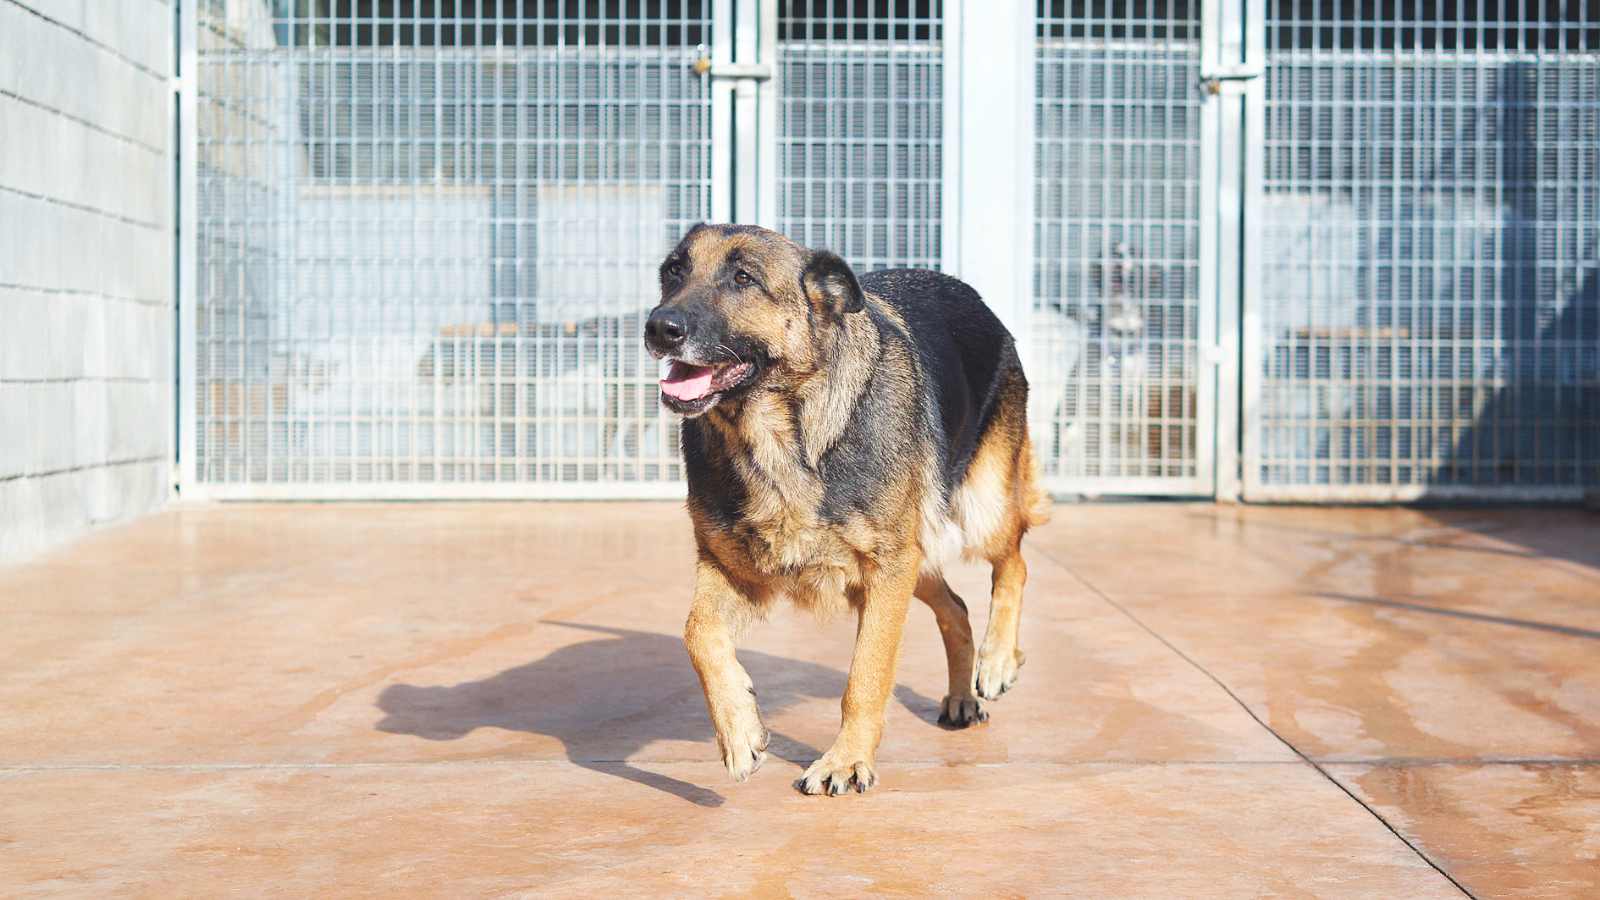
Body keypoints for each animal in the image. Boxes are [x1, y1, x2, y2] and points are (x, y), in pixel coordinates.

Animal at [643, 224, 1049, 795]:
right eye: (673, 272)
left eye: (744, 277)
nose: (659, 327)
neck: (783, 437)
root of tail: (966, 290)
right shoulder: (735, 569)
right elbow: (696, 632)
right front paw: (739, 730)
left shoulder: (886, 569)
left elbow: (866, 676)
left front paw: (846, 760)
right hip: (913, 558)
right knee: (955, 606)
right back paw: (960, 695)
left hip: (976, 513)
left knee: (1014, 563)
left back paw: (995, 663)